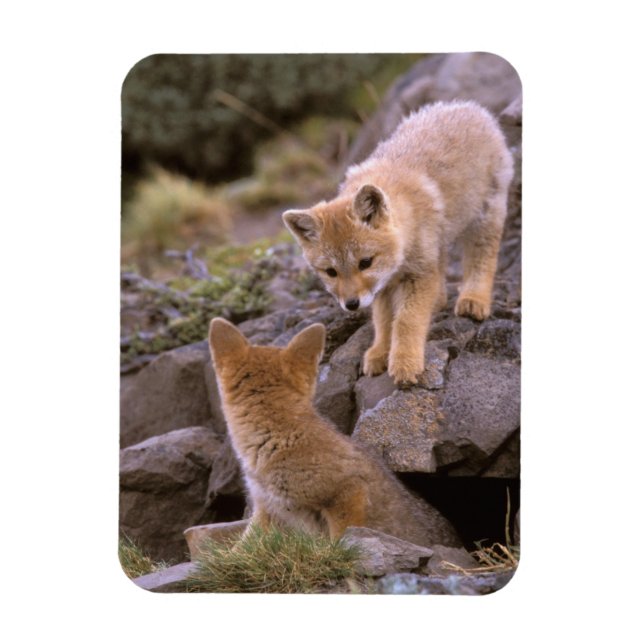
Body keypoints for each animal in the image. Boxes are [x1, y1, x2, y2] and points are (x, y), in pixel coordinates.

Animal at [283, 100, 514, 385]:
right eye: (331, 272)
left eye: (365, 262)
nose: (351, 305)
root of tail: (467, 106)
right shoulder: (385, 286)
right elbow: (384, 322)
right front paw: (380, 352)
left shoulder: (418, 274)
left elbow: (405, 321)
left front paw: (405, 362)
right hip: (439, 243)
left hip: (483, 220)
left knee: (482, 260)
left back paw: (474, 299)